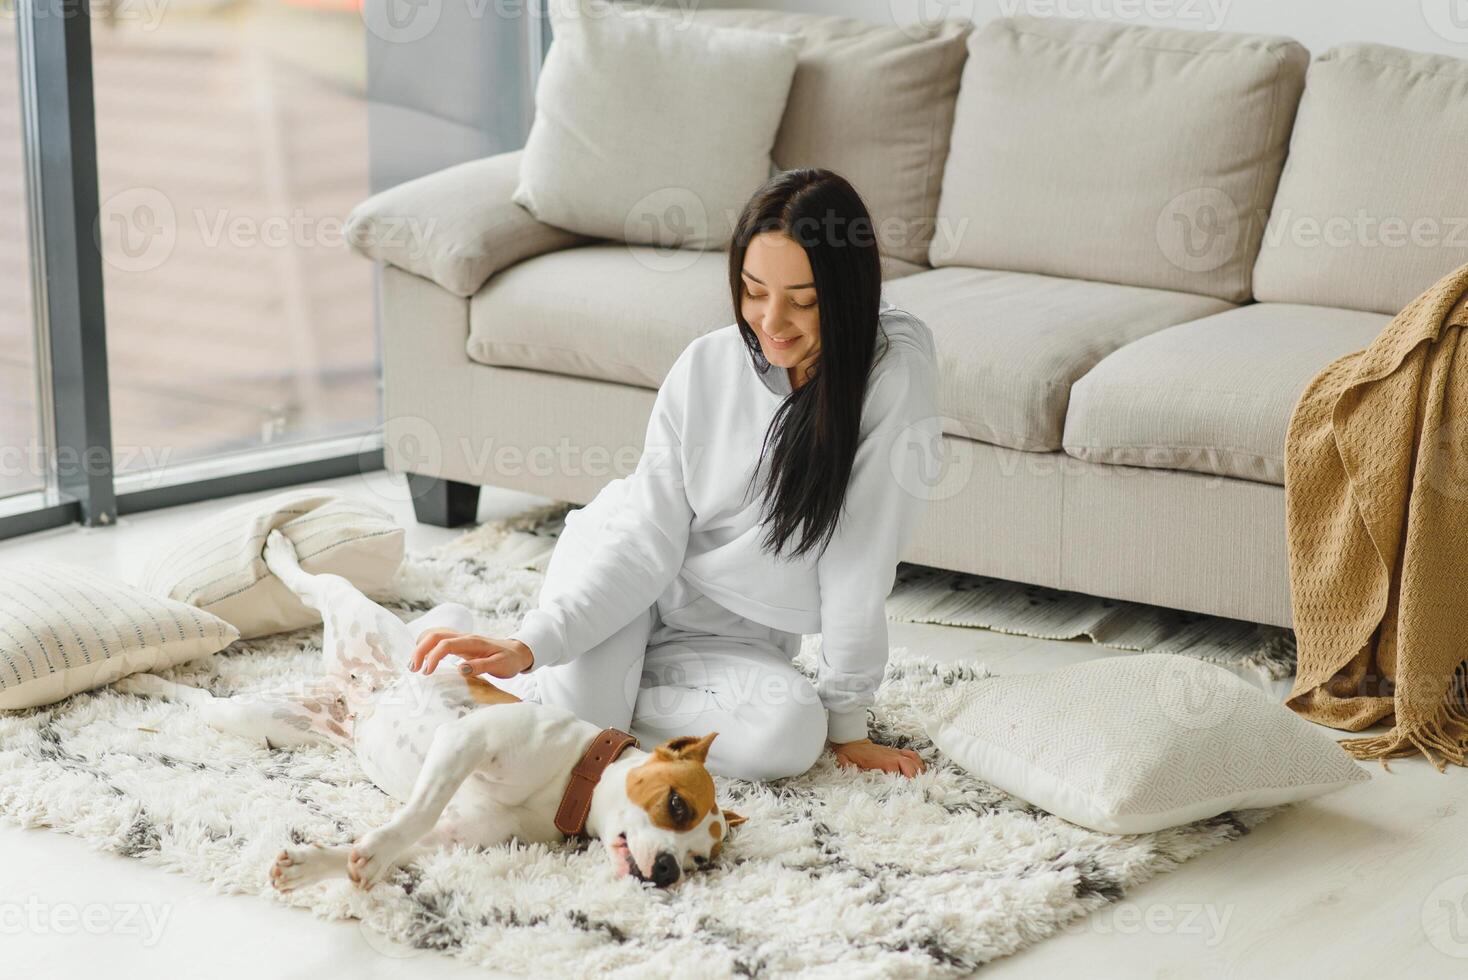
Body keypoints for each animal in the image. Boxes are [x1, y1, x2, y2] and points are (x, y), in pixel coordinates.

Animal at [111, 531, 745, 891]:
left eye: (701, 861)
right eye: (677, 805)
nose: (669, 872)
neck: (575, 778)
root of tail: (356, 690)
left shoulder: (458, 834)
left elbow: (394, 841)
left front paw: (329, 865)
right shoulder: (467, 741)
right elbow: (415, 813)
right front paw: (365, 855)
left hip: (266, 721)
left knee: (205, 700)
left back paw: (145, 678)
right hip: (347, 614)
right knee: (311, 584)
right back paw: (271, 556)